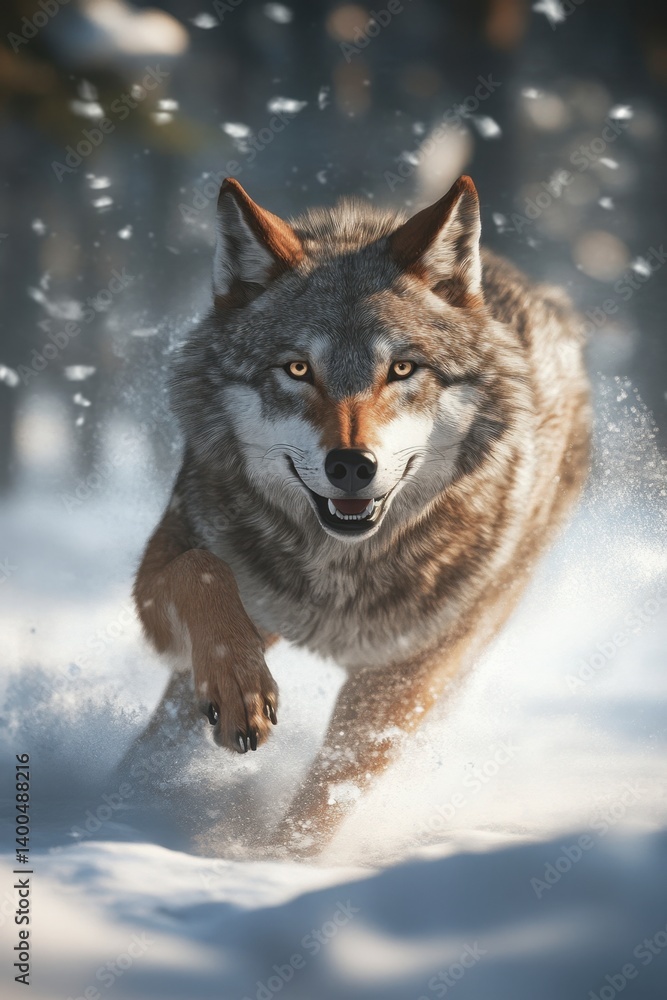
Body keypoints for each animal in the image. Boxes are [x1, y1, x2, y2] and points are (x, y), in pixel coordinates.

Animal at [132, 174, 590, 850]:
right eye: (298, 368)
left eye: (401, 368)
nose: (353, 465)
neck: (339, 568)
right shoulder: (162, 576)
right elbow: (203, 572)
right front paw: (240, 692)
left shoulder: (407, 669)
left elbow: (330, 788)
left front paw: (276, 860)